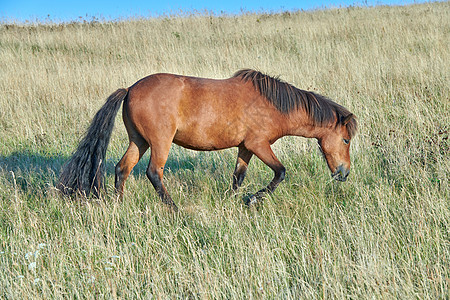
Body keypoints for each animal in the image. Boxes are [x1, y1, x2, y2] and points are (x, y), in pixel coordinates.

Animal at [57, 69, 358, 212]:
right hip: (160, 142)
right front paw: (253, 200)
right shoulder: (259, 145)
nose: (344, 174)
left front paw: (233, 200)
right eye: (345, 140)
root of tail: (130, 89)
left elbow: (238, 177)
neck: (273, 105)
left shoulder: (245, 148)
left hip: (139, 141)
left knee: (122, 169)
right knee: (154, 173)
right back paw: (174, 209)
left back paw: (118, 204)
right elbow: (280, 173)